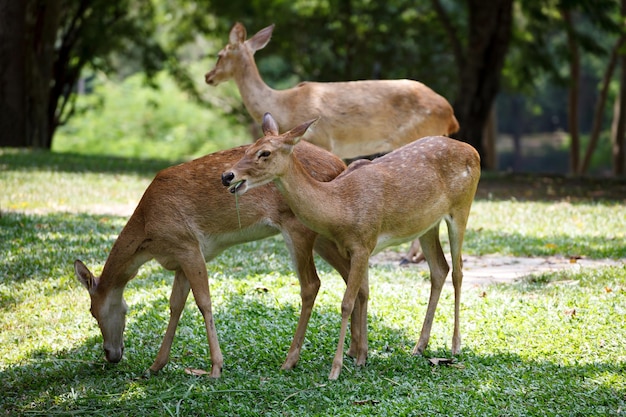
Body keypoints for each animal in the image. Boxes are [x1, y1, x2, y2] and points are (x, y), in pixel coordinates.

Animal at [74, 140, 360, 376]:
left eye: (92, 311)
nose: (111, 354)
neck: (148, 235)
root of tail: (340, 164)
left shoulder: (188, 245)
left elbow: (203, 302)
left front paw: (216, 367)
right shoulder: (180, 259)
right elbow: (175, 305)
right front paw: (156, 365)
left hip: (299, 226)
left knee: (313, 283)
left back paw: (293, 359)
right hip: (323, 232)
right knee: (353, 276)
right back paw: (357, 352)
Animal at [205, 22, 458, 264]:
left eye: (220, 54)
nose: (208, 76)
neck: (284, 105)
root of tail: (450, 115)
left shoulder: (322, 138)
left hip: (418, 134)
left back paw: (409, 256)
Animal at [222, 112, 480, 378]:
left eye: (265, 152)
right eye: (247, 148)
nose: (227, 176)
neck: (340, 207)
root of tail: (473, 151)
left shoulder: (363, 243)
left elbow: (346, 302)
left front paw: (336, 368)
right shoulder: (355, 249)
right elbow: (363, 293)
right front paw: (361, 357)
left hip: (462, 207)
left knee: (458, 270)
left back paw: (455, 345)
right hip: (427, 225)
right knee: (439, 269)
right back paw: (419, 346)